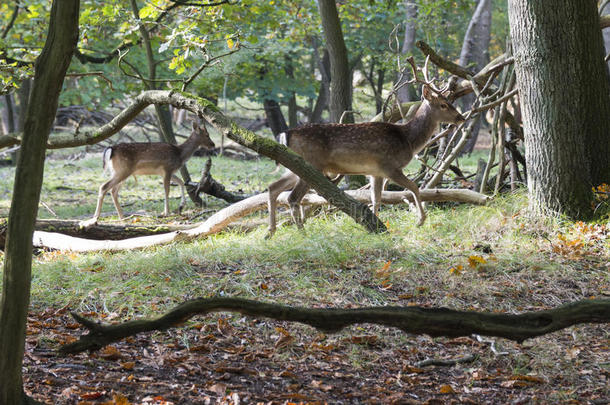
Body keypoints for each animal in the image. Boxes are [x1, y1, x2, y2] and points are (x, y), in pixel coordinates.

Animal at [79, 121, 215, 226]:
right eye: (207, 135)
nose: (213, 144)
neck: (180, 154)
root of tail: (111, 149)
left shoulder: (167, 172)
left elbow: (181, 182)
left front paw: (181, 206)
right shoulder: (167, 169)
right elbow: (167, 190)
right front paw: (166, 212)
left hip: (120, 172)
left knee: (113, 191)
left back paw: (122, 217)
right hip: (123, 170)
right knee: (104, 187)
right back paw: (96, 217)